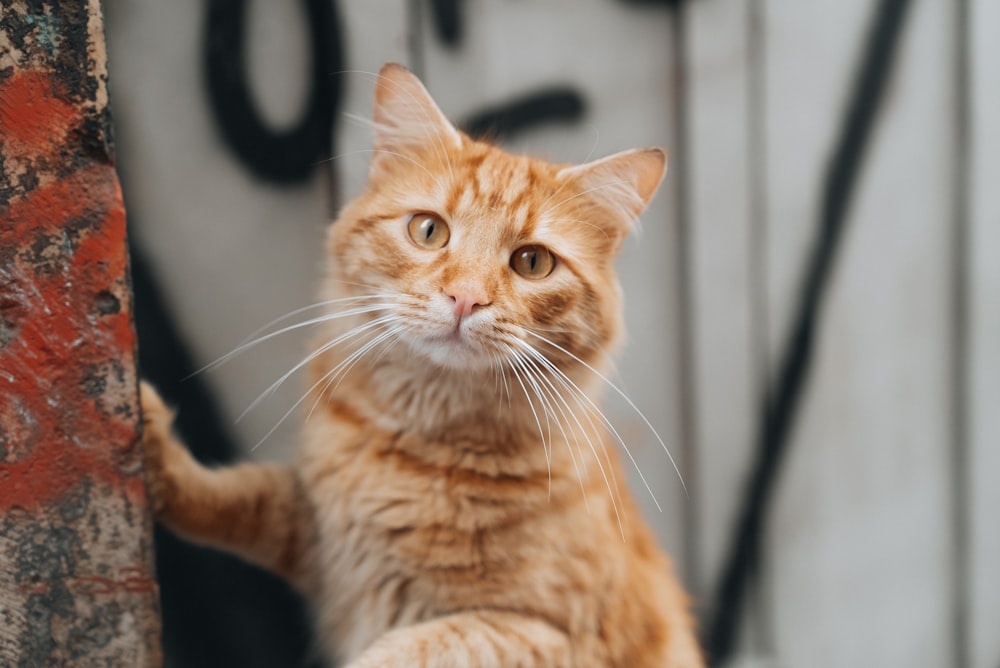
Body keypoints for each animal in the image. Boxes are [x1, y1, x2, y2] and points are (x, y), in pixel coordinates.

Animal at [141, 64, 704, 668]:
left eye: (532, 262)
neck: (417, 444)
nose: (466, 297)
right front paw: (157, 456)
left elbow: (421, 645)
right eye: (429, 230)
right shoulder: (321, 544)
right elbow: (245, 496)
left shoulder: (550, 634)